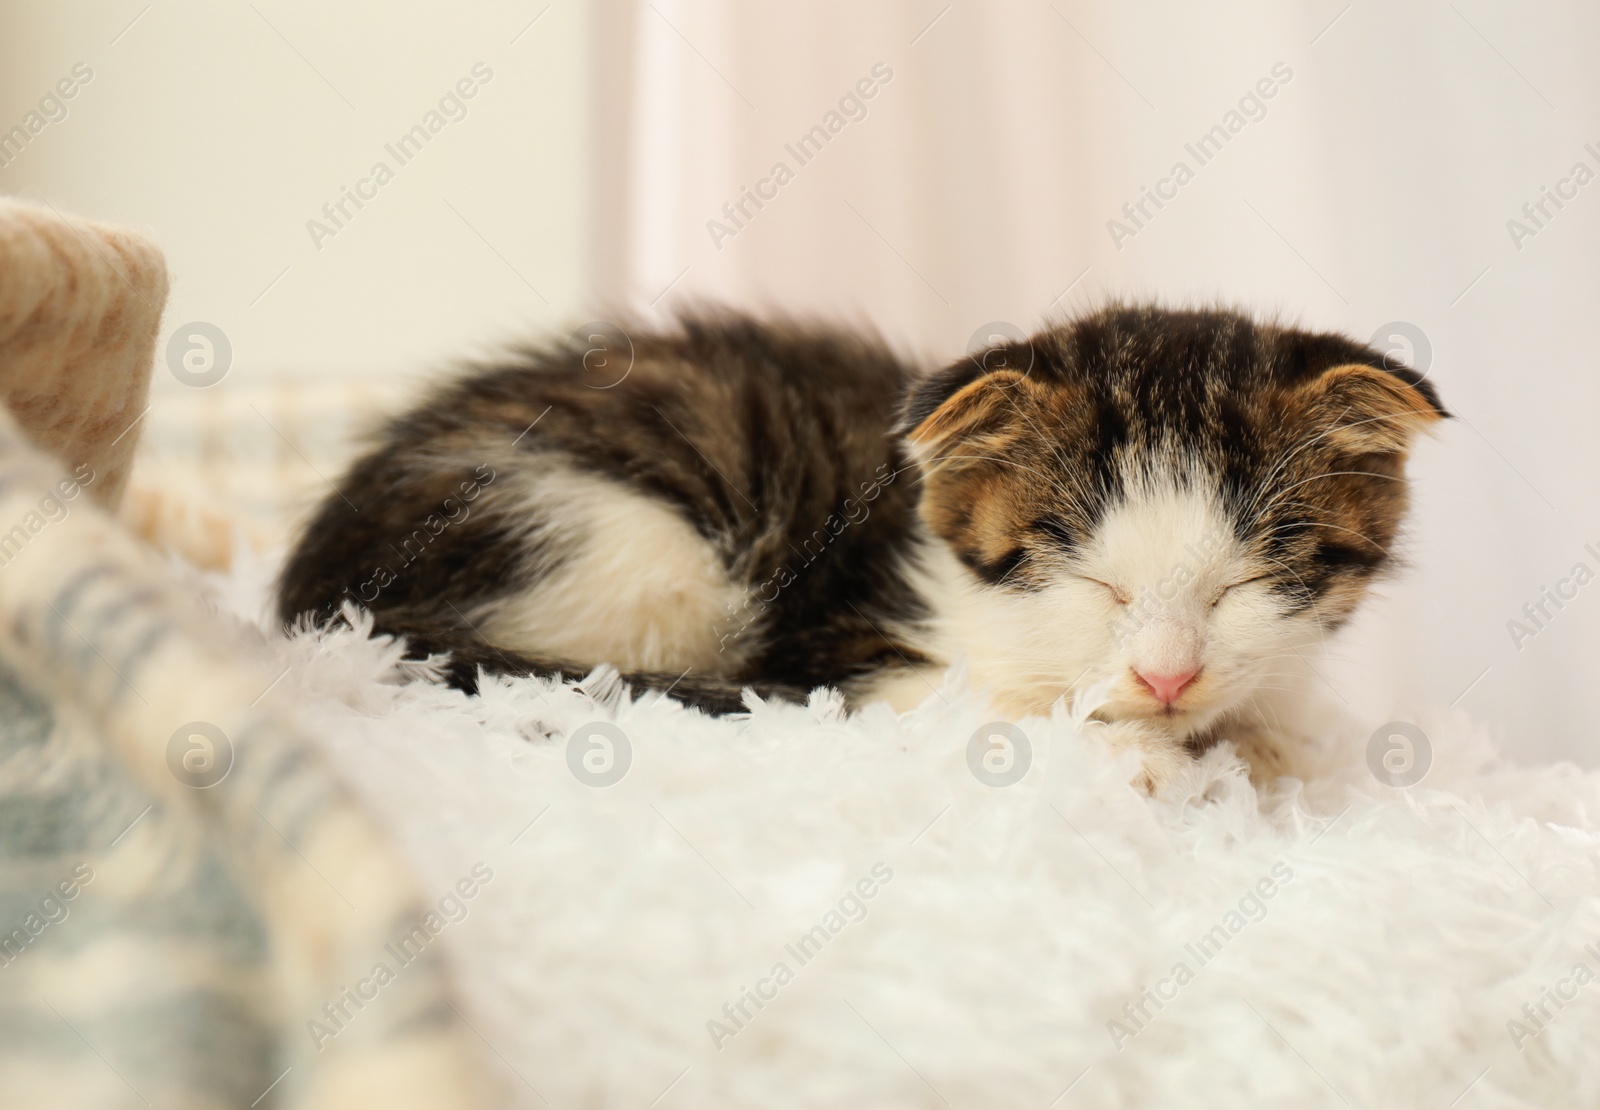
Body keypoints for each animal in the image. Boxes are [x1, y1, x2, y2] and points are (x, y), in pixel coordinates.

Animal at [278, 303, 1452, 790]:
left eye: (1248, 577)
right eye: (1093, 578)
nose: (1167, 677)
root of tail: (312, 590)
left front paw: (1261, 740)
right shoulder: (845, 651)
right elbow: (978, 706)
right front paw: (1142, 757)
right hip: (628, 544)